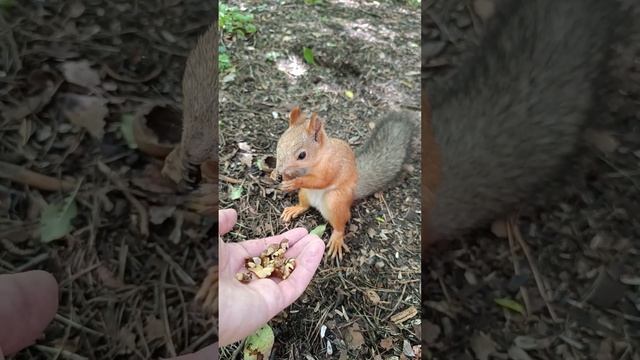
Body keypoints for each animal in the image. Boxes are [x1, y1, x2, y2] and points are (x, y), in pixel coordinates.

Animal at [274, 106, 416, 258]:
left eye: (302, 155)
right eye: (278, 144)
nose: (280, 168)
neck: (314, 162)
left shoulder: (332, 167)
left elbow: (321, 181)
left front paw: (294, 182)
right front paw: (278, 175)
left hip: (335, 201)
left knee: (341, 224)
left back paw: (337, 239)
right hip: (305, 193)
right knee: (305, 205)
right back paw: (295, 208)